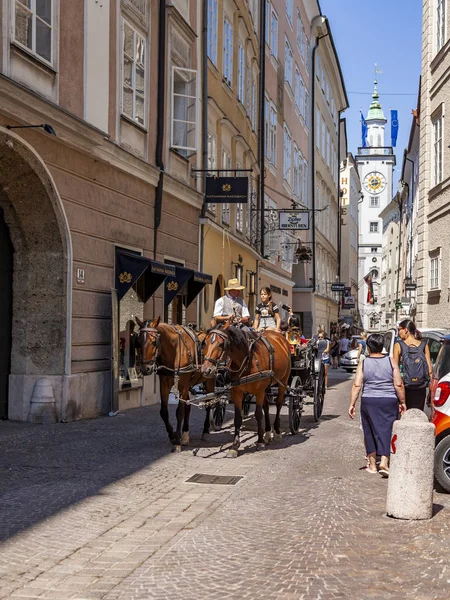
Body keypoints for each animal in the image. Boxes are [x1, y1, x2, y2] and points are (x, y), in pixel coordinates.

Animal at [137, 316, 213, 452]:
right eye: (139, 342)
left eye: (154, 342)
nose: (145, 369)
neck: (176, 350)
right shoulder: (164, 384)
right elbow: (164, 412)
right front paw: (172, 435)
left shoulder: (183, 386)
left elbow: (179, 412)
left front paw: (177, 441)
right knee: (189, 406)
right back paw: (186, 433)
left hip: (209, 380)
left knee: (209, 403)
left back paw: (205, 430)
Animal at [201, 324, 292, 454]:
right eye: (205, 343)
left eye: (221, 344)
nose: (205, 370)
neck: (247, 362)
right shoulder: (236, 392)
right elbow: (238, 418)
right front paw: (235, 446)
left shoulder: (259, 391)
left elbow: (258, 414)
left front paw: (260, 442)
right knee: (266, 407)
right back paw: (267, 432)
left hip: (283, 381)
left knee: (278, 404)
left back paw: (277, 432)